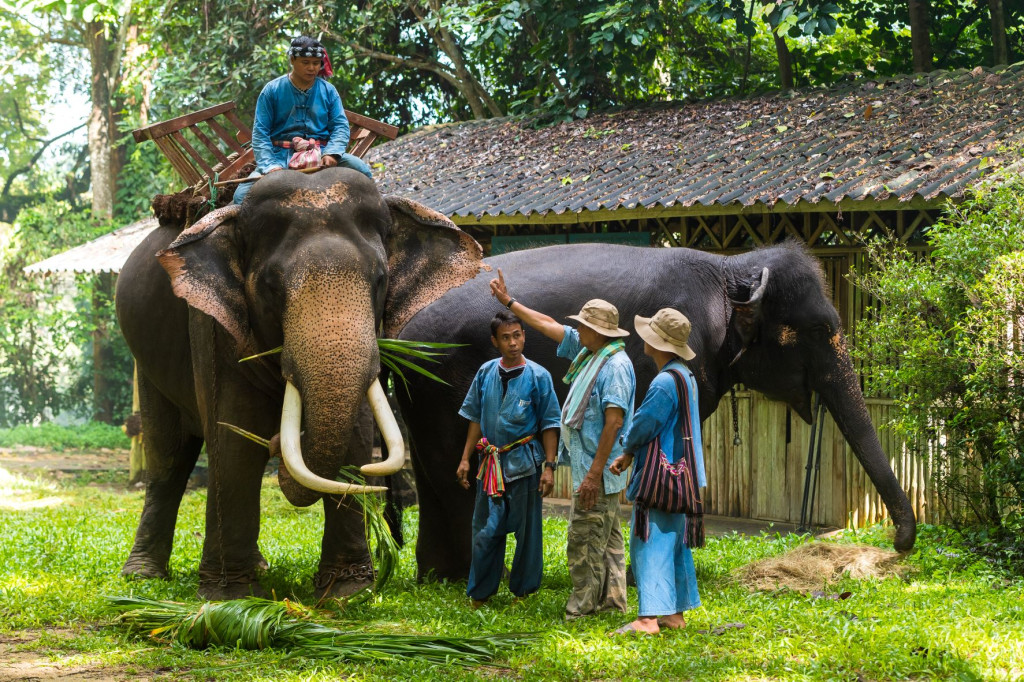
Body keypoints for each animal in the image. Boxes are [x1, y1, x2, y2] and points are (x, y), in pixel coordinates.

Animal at [116, 168, 483, 593]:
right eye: (272, 286)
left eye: (379, 280)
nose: (278, 439)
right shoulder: (211, 327)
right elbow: (232, 439)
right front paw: (232, 594)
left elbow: (355, 438)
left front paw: (346, 591)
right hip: (147, 367)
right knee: (168, 458)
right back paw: (142, 574)